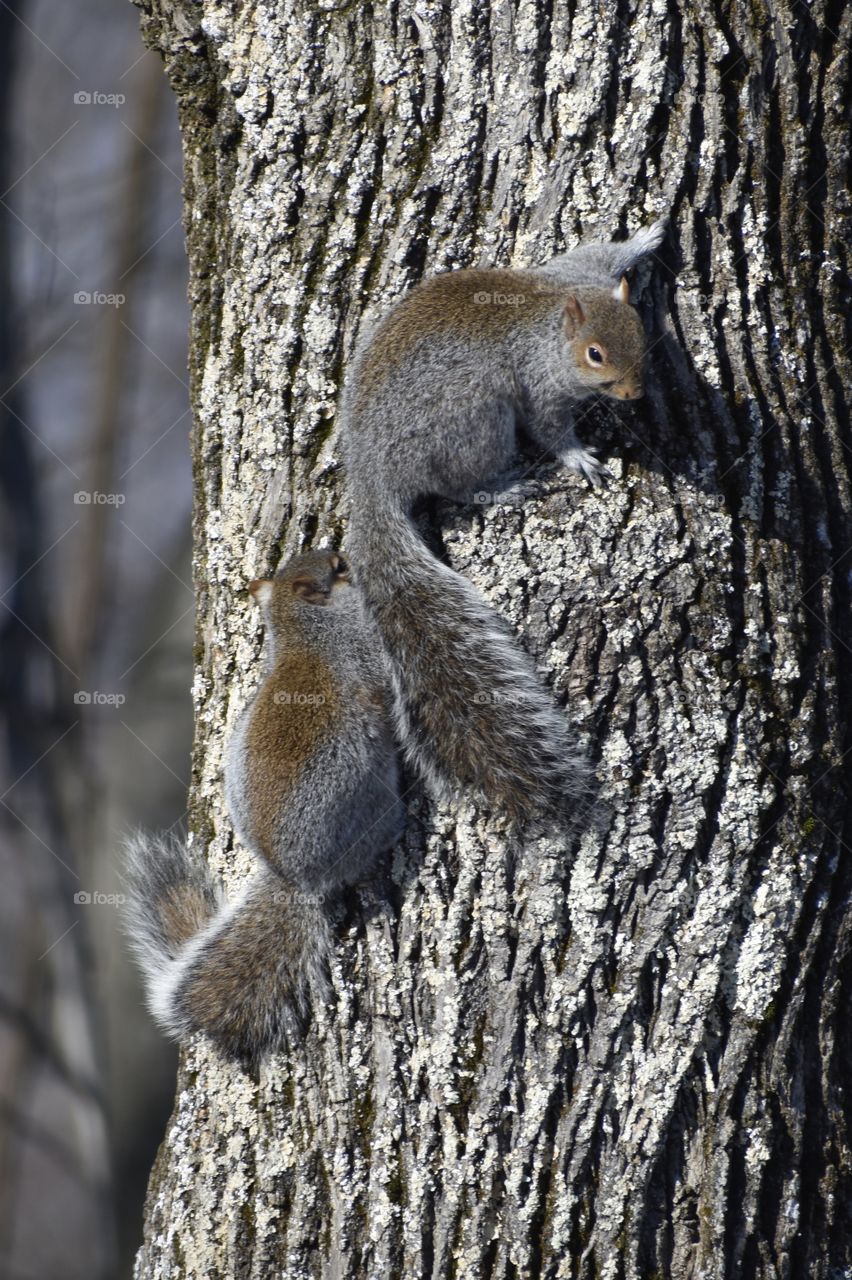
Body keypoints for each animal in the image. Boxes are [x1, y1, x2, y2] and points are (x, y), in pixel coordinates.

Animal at [343, 220, 667, 825]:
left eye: (643, 338)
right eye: (594, 354)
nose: (634, 393)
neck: (551, 325)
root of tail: (372, 475)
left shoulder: (574, 270)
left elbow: (598, 251)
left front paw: (649, 235)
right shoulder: (540, 387)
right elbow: (550, 428)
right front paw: (578, 458)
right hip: (473, 419)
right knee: (456, 484)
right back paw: (504, 487)